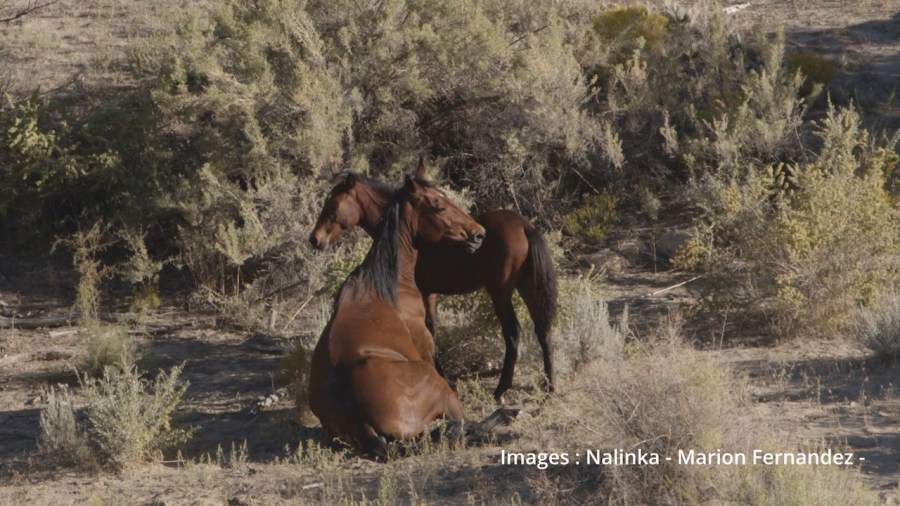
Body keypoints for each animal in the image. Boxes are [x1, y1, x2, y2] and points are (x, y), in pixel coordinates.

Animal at [312, 162, 560, 400]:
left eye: (333, 207)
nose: (315, 239)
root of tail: (525, 226)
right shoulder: (430, 293)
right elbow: (432, 328)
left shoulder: (424, 292)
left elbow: (429, 330)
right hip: (526, 288)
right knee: (543, 330)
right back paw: (549, 386)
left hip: (501, 293)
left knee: (513, 332)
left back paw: (501, 389)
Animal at [312, 175, 492, 458]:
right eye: (439, 207)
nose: (479, 233)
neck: (385, 283)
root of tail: (359, 421)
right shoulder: (425, 341)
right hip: (441, 392)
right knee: (464, 426)